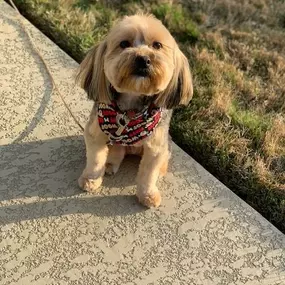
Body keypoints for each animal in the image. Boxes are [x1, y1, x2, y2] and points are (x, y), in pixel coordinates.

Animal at [76, 13, 192, 206]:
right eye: (124, 44)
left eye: (157, 45)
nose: (143, 59)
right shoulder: (95, 134)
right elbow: (95, 159)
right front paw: (91, 180)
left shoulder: (156, 147)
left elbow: (148, 174)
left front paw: (148, 195)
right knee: (116, 151)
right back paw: (110, 164)